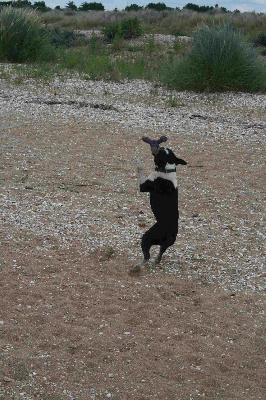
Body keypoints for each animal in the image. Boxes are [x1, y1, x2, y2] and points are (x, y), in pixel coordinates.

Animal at [133, 135, 187, 272]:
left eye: (160, 152)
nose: (160, 147)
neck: (167, 169)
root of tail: (171, 235)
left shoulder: (144, 186)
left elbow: (140, 169)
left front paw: (137, 161)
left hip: (147, 237)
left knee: (146, 256)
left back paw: (138, 266)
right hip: (164, 245)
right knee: (161, 252)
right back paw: (155, 261)